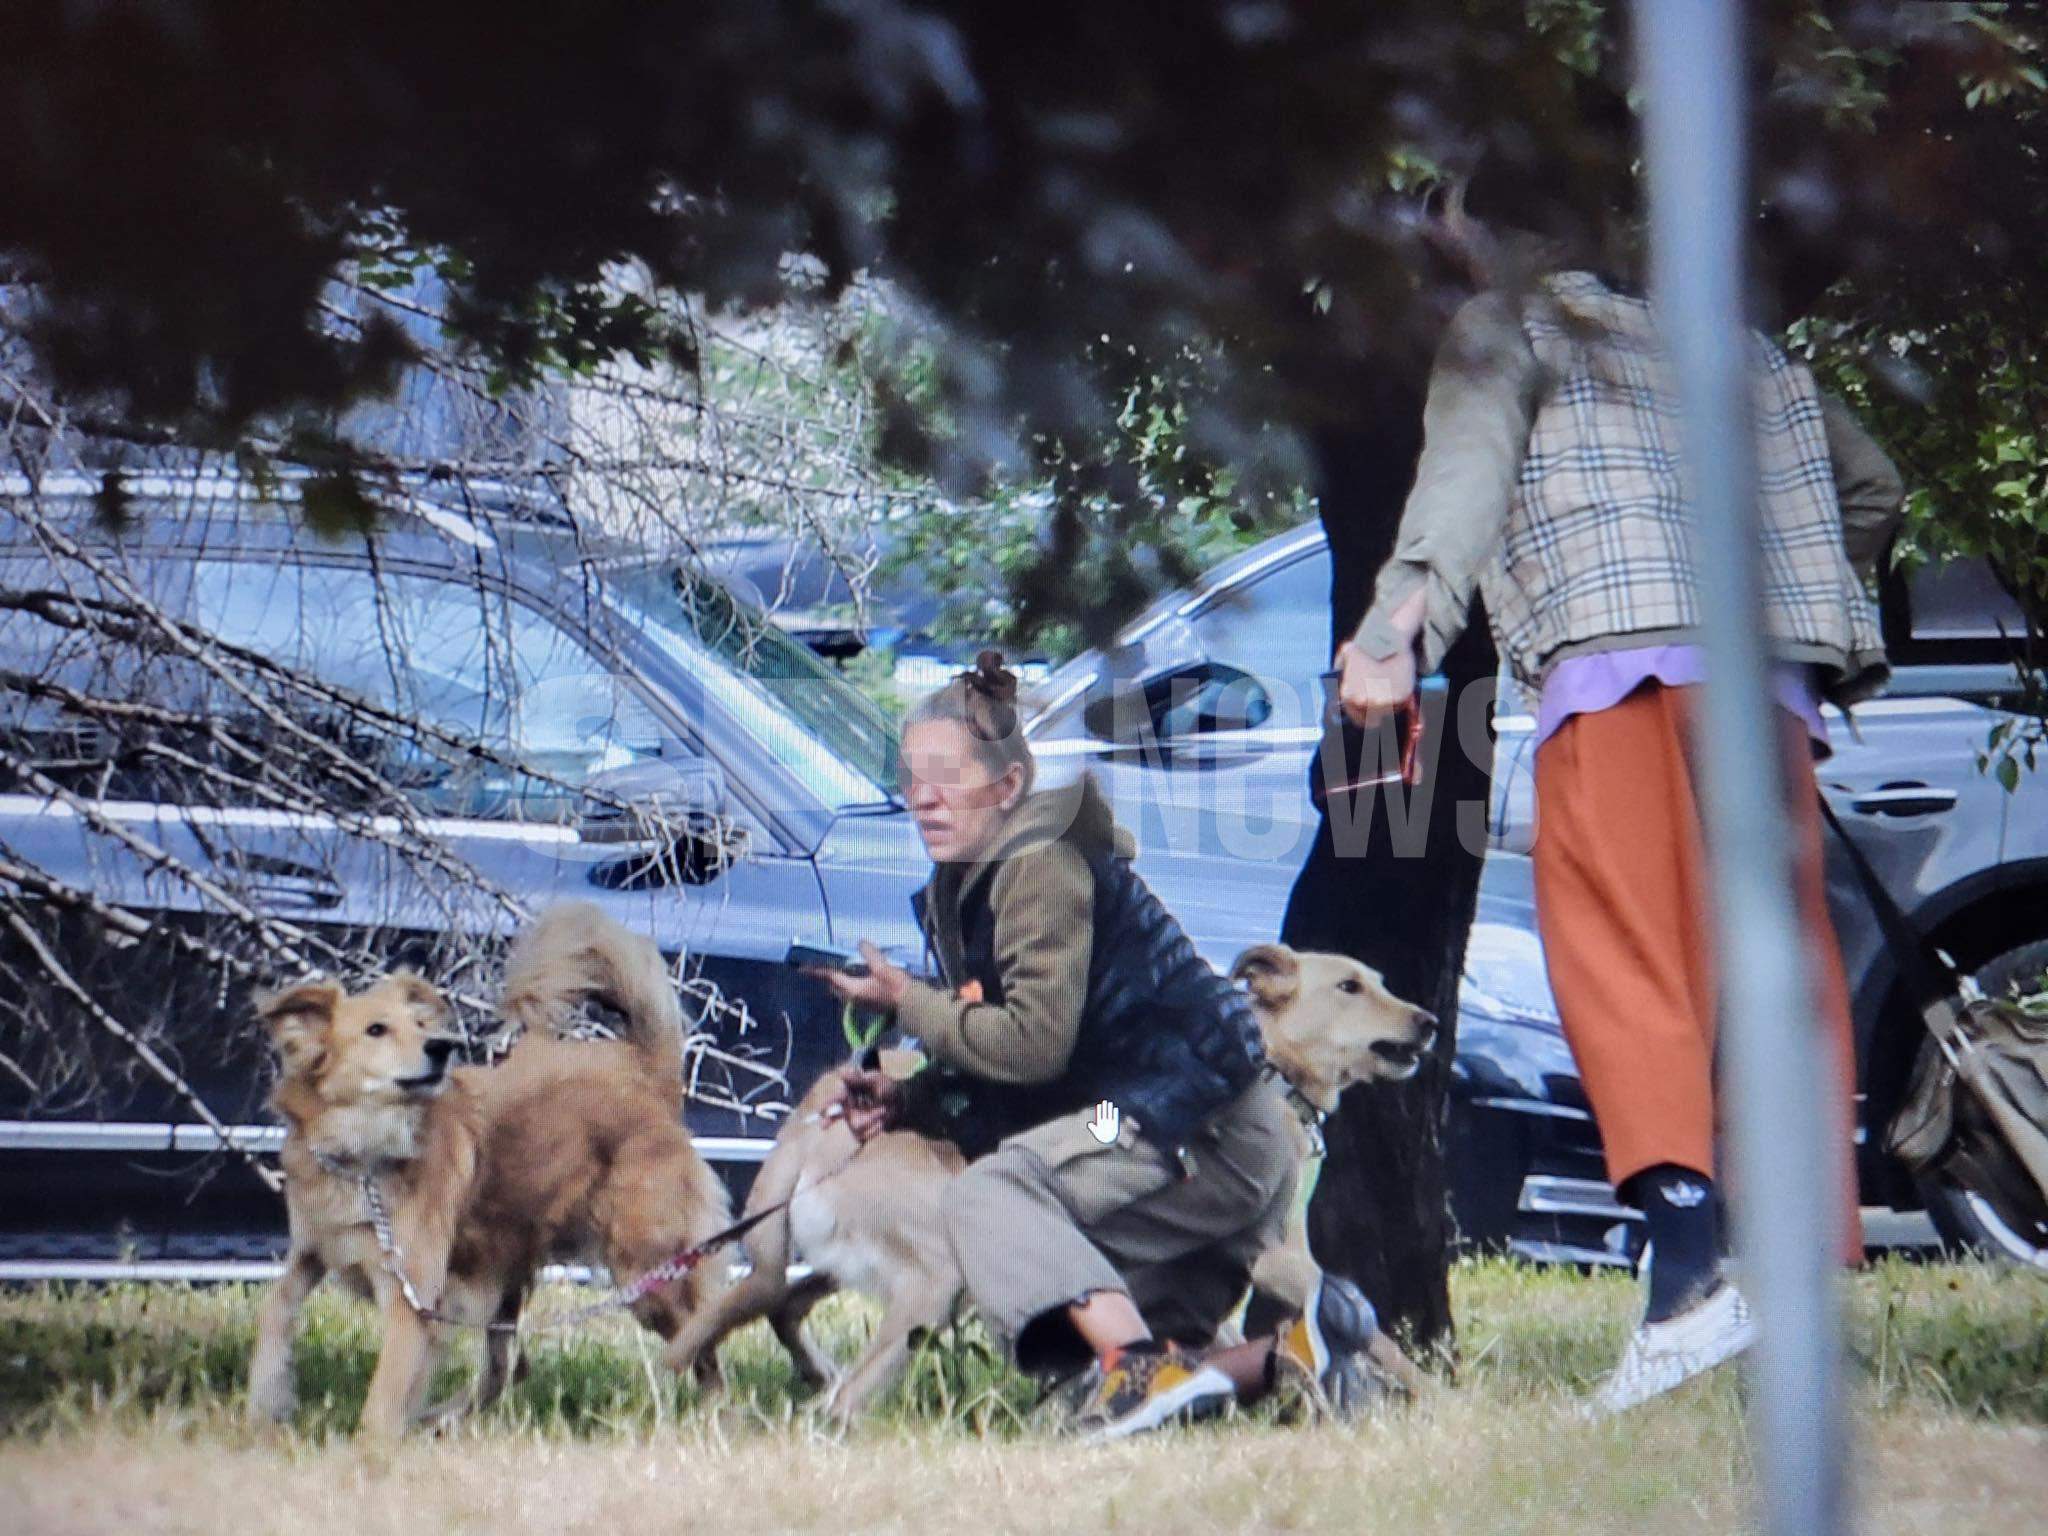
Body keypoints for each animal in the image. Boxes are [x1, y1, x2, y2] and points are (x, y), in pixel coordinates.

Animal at [246, 901, 729, 1441]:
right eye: (376, 1030)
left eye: (422, 1026)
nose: (442, 1046)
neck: (363, 1157)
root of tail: (648, 1074)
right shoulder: (311, 1253)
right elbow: (274, 1312)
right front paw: (264, 1407)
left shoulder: (412, 1295)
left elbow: (385, 1395)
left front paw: (372, 1449)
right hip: (505, 1269)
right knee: (508, 1368)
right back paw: (439, 1420)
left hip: (646, 1270)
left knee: (702, 1336)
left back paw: (717, 1418)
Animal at [671, 946, 1441, 1425]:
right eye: (1349, 987)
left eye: (1377, 981)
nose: (1430, 1023)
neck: (1269, 1067)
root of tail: (816, 1120)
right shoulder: (1274, 1257)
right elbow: (1377, 1339)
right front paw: (1436, 1399)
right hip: (936, 1280)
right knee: (840, 1395)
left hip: (822, 1264)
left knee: (776, 1310)